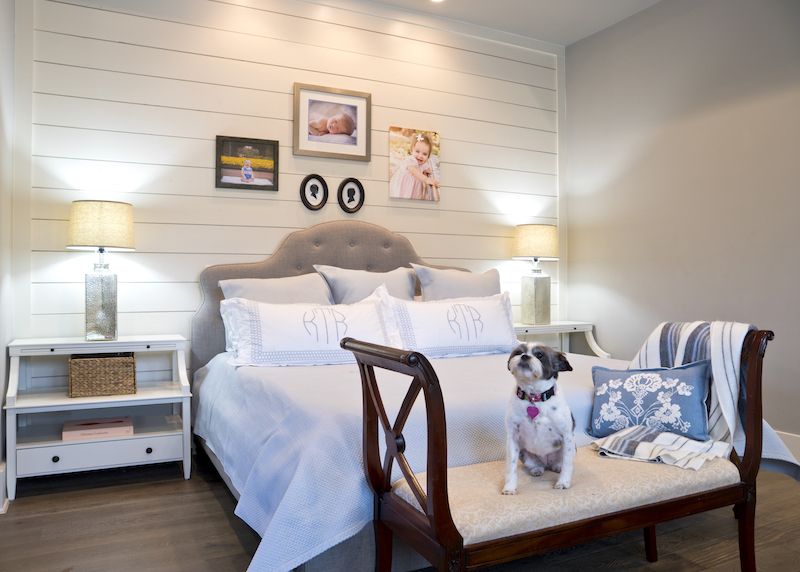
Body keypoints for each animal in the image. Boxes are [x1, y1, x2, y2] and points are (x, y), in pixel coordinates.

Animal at [500, 342, 576, 494]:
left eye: (540, 355)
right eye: (518, 353)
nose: (524, 356)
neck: (534, 398)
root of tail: (547, 464)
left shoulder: (566, 437)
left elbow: (567, 463)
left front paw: (563, 482)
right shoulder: (512, 438)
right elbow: (511, 466)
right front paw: (510, 487)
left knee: (560, 462)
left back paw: (557, 467)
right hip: (524, 454)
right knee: (537, 465)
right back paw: (537, 469)